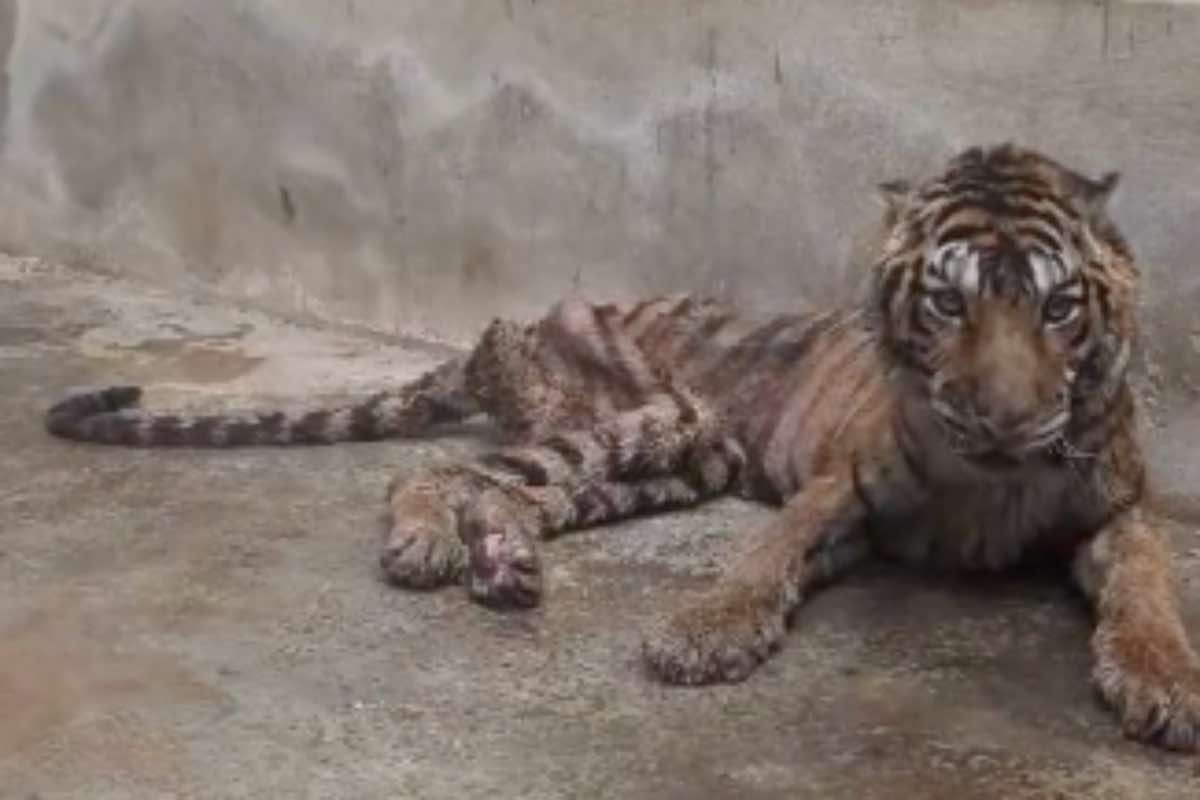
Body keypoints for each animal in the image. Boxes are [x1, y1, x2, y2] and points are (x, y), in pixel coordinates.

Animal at [46, 144, 1200, 751]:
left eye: (1057, 308)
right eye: (950, 302)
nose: (1005, 420)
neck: (989, 480)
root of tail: (514, 323)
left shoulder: (1121, 510)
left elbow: (1149, 589)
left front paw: (1166, 683)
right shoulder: (839, 488)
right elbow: (763, 556)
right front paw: (706, 631)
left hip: (673, 460)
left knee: (506, 493)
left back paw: (505, 567)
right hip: (647, 422)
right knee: (440, 469)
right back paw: (428, 544)